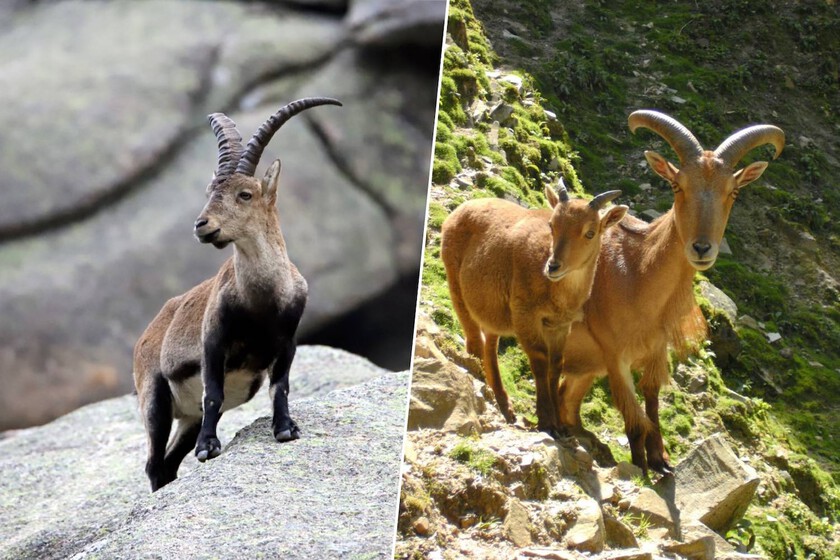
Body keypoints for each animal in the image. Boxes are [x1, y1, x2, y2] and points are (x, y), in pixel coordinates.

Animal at [133, 97, 341, 491]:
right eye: (209, 193)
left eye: (245, 194)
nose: (202, 225)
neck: (261, 301)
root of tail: (146, 333)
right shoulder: (213, 340)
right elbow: (213, 393)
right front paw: (208, 448)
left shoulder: (287, 340)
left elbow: (280, 387)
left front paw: (285, 428)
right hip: (153, 395)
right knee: (153, 463)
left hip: (186, 417)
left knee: (168, 463)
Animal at [441, 181, 627, 435]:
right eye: (552, 225)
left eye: (590, 232)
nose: (553, 266)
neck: (557, 291)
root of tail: (458, 211)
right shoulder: (525, 314)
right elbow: (540, 360)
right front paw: (547, 421)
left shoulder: (560, 325)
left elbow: (556, 364)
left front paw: (561, 424)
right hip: (456, 286)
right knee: (474, 341)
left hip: (492, 307)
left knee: (490, 343)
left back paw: (504, 402)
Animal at [557, 110, 784, 475]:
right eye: (678, 185)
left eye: (733, 191)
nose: (702, 248)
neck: (636, 274)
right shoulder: (614, 354)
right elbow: (634, 417)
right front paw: (641, 464)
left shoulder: (655, 350)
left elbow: (651, 402)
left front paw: (660, 459)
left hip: (584, 368)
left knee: (568, 400)